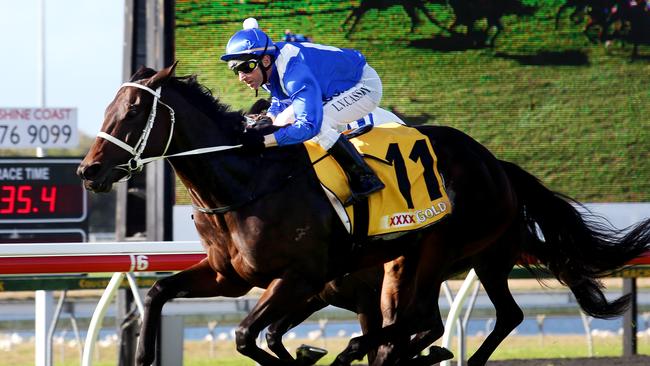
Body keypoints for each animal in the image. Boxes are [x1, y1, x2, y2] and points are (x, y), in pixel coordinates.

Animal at [78, 64, 648, 364]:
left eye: (133, 111)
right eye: (109, 107)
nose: (88, 171)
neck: (248, 181)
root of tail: (497, 164)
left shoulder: (301, 277)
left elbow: (249, 335)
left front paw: (305, 355)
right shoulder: (231, 276)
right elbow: (158, 292)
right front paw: (144, 354)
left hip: (435, 250)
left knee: (427, 319)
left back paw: (372, 349)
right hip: (469, 259)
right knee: (494, 315)